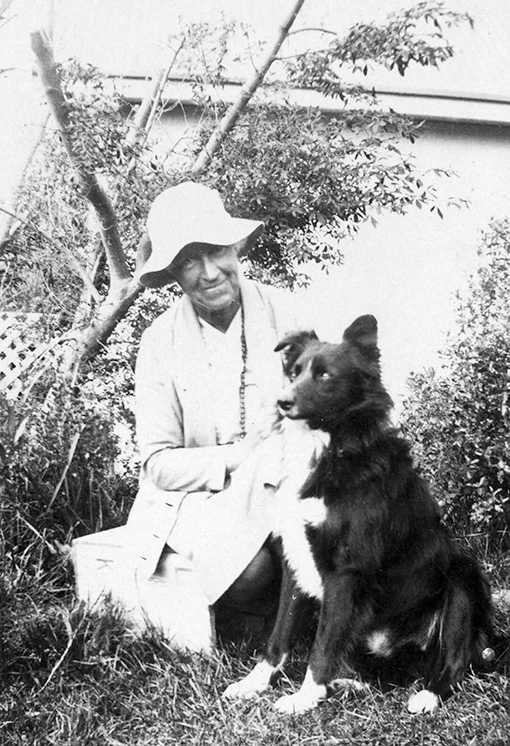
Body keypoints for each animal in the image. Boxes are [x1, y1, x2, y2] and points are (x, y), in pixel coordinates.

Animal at [223, 312, 494, 708]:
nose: (281, 402)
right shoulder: (295, 560)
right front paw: (254, 684)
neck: (330, 449)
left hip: (462, 577)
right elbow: (279, 635)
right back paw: (347, 684)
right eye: (295, 372)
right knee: (382, 675)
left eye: (325, 375)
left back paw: (428, 695)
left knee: (455, 663)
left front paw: (303, 700)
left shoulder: (346, 571)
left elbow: (322, 646)